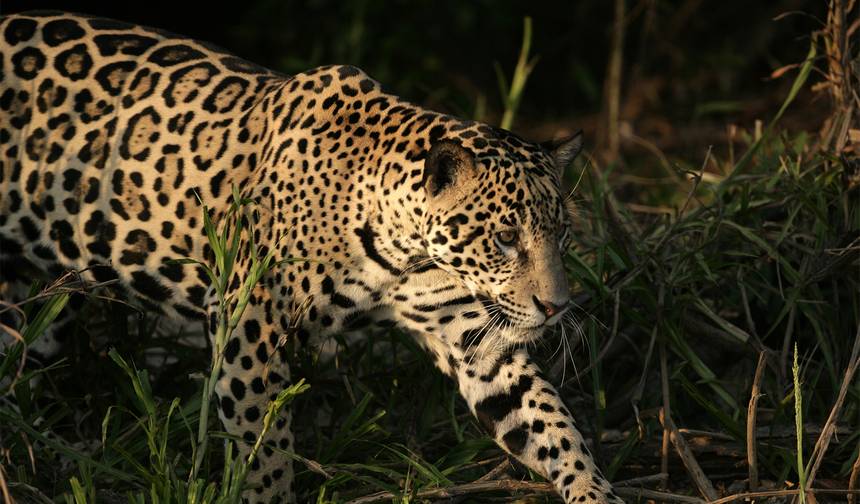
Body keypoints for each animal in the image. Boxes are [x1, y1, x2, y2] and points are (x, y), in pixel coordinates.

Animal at [0, 11, 624, 504]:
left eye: (562, 236)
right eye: (504, 239)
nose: (557, 307)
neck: (401, 249)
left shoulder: (475, 341)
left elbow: (551, 423)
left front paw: (594, 490)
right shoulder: (246, 319)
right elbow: (263, 442)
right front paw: (266, 494)